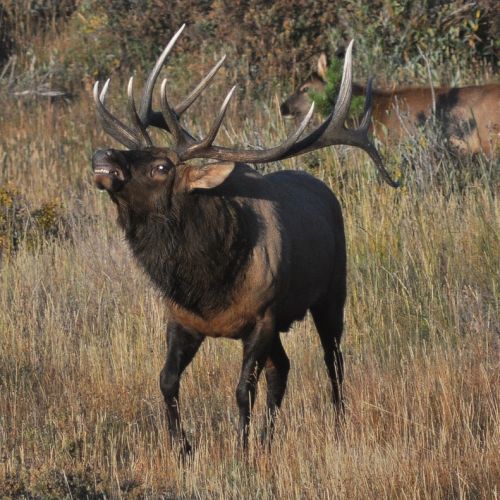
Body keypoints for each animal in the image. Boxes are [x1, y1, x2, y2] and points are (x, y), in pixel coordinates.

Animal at [91, 25, 398, 456]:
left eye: (162, 166)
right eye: (136, 149)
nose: (104, 155)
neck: (205, 283)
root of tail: (324, 189)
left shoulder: (262, 318)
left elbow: (242, 391)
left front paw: (243, 452)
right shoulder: (182, 320)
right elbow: (166, 380)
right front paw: (184, 447)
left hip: (331, 293)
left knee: (333, 361)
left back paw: (337, 426)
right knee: (283, 368)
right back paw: (269, 439)